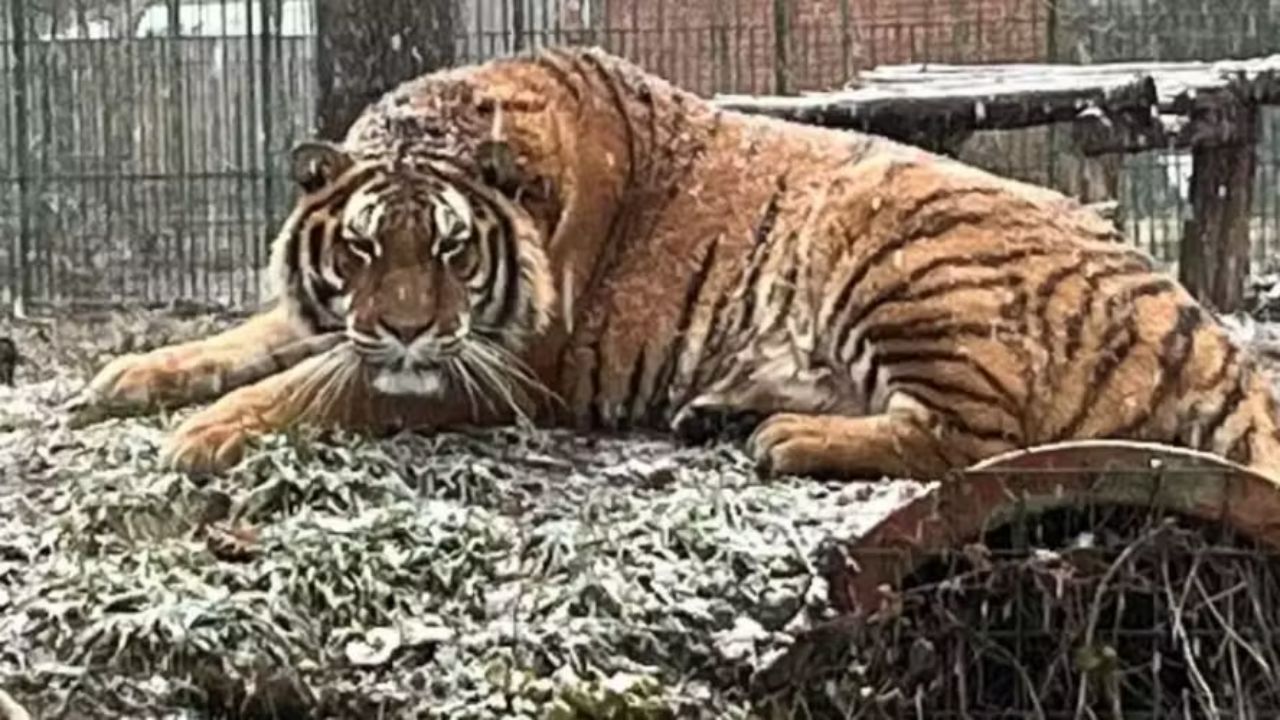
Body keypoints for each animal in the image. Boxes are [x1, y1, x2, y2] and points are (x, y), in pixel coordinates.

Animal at [67, 45, 1280, 485]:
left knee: (984, 440)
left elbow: (319, 387)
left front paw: (202, 432)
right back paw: (727, 412)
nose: (407, 326)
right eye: (362, 249)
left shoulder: (511, 369)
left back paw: (785, 437)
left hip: (893, 246)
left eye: (455, 252)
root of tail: (1197, 324)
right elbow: (254, 336)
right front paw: (127, 378)